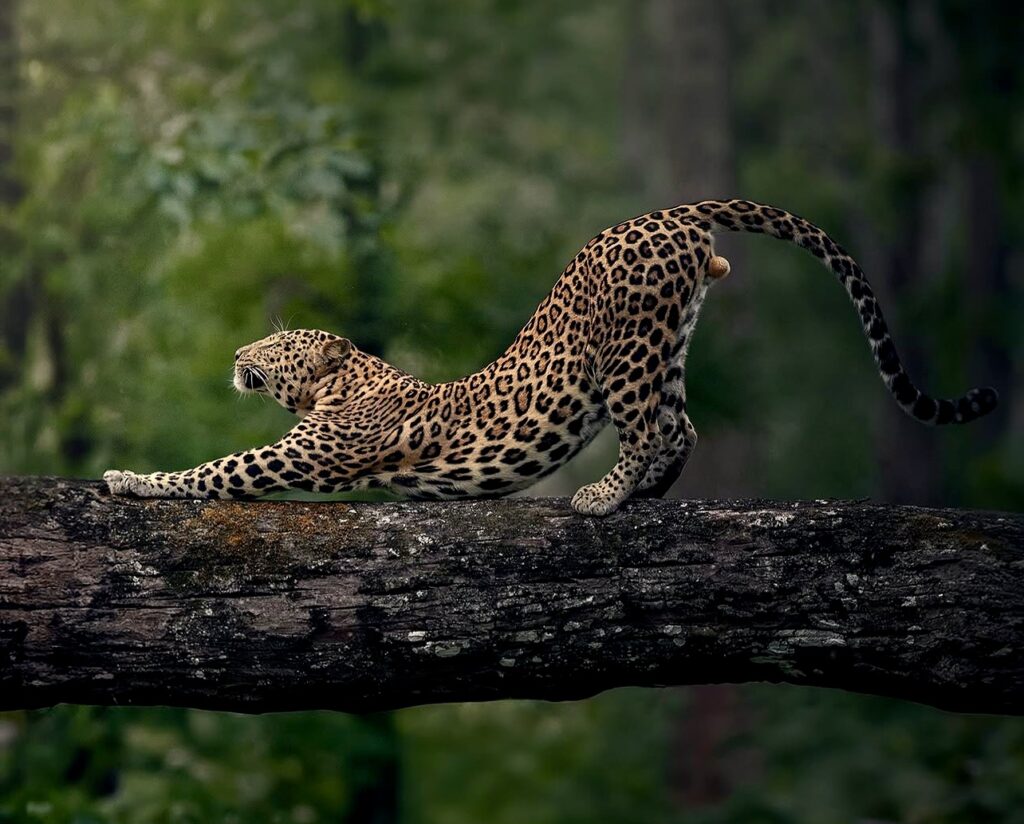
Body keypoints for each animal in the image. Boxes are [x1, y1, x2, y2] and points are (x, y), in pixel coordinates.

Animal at [104, 199, 998, 516]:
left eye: (278, 344)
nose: (238, 352)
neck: (349, 382)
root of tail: (676, 213)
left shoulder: (309, 456)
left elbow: (217, 469)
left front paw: (129, 479)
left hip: (629, 350)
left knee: (651, 430)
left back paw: (603, 497)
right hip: (669, 339)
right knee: (684, 427)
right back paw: (649, 493)